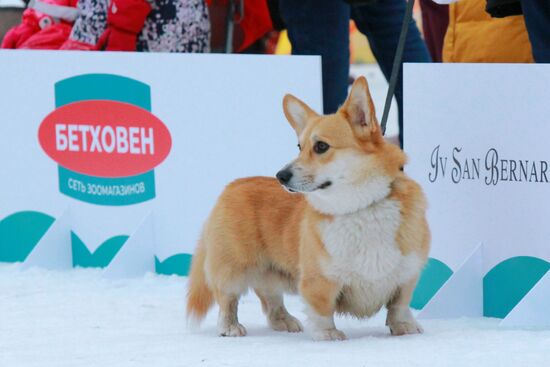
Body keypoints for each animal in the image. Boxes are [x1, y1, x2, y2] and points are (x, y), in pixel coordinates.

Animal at [188, 77, 434, 342]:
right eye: (299, 146)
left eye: (321, 146)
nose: (280, 176)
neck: (360, 207)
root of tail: (232, 185)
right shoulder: (318, 281)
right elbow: (322, 310)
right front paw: (328, 334)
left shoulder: (407, 275)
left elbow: (400, 305)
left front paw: (404, 327)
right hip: (233, 268)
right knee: (227, 300)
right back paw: (230, 327)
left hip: (270, 272)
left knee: (270, 299)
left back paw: (284, 321)